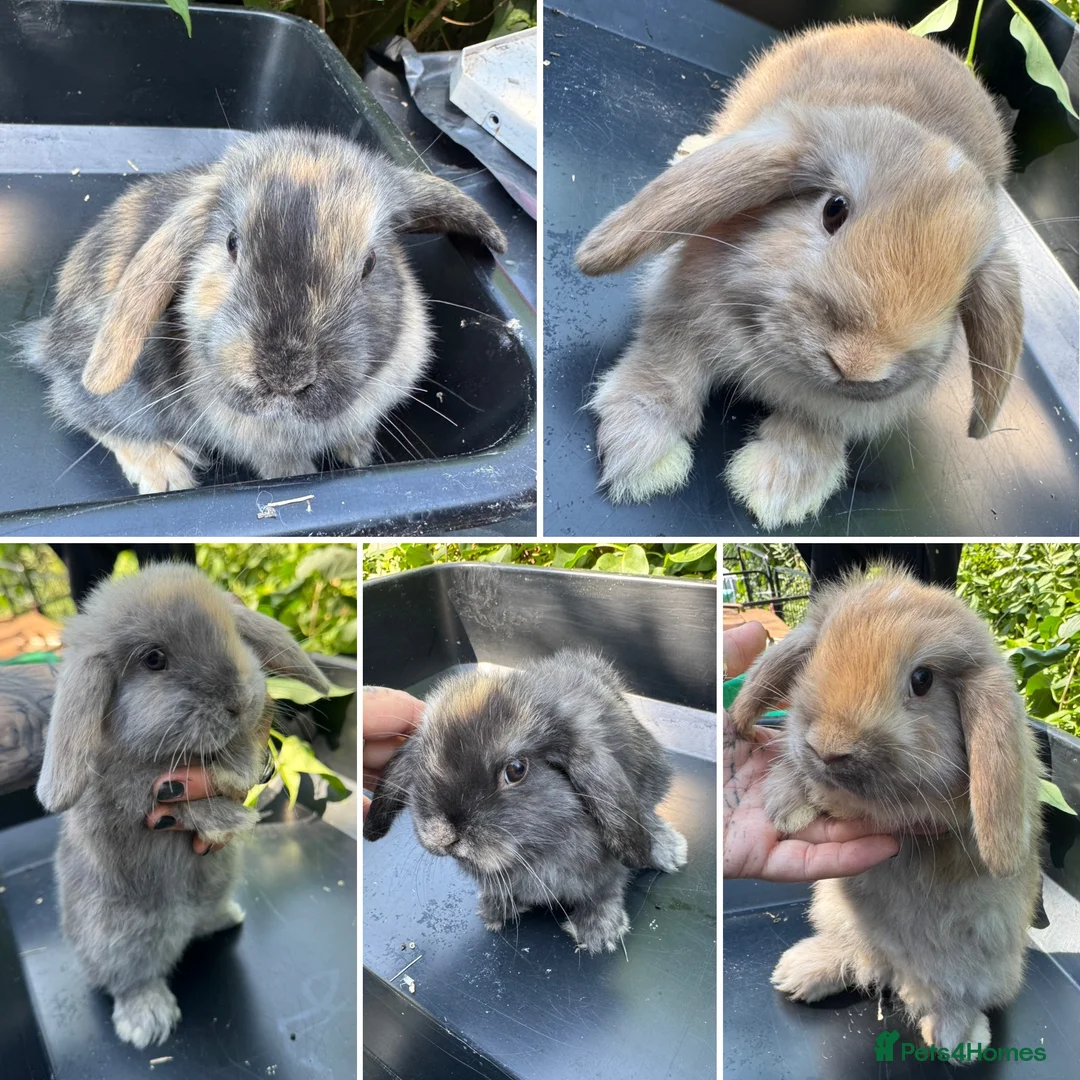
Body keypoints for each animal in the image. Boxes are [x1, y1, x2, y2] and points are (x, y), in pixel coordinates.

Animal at [22, 128, 507, 493]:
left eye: (370, 263)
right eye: (231, 243)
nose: (284, 377)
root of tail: (47, 338)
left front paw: (358, 453)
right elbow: (281, 466)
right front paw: (303, 472)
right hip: (121, 392)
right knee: (80, 410)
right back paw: (168, 472)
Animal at [35, 563, 331, 1049]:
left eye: (232, 632)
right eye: (154, 659)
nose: (240, 700)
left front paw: (242, 765)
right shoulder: (132, 793)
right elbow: (173, 796)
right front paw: (232, 811)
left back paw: (224, 918)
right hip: (122, 938)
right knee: (129, 980)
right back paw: (147, 1022)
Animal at [363, 650, 688, 954]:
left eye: (516, 770)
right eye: (424, 764)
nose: (443, 836)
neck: (531, 854)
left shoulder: (604, 871)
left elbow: (605, 891)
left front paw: (597, 934)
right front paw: (494, 911)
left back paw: (669, 851)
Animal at [575, 22, 1023, 528]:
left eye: (960, 290)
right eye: (833, 209)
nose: (857, 365)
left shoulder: (832, 412)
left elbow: (811, 430)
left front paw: (779, 490)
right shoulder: (678, 320)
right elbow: (664, 375)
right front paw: (639, 451)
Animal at [728, 564, 1043, 1057]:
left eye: (922, 679)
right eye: (818, 654)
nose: (829, 747)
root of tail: (896, 965)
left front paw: (790, 802)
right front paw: (787, 800)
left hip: (980, 968)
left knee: (953, 997)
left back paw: (958, 1040)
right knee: (856, 958)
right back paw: (799, 972)